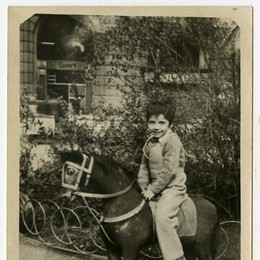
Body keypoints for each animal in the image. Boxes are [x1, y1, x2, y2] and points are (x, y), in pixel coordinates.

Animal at [59, 150, 217, 260]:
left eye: (70, 171)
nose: (63, 196)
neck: (123, 203)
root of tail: (212, 205)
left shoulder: (130, 249)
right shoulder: (112, 249)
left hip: (202, 246)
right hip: (188, 243)